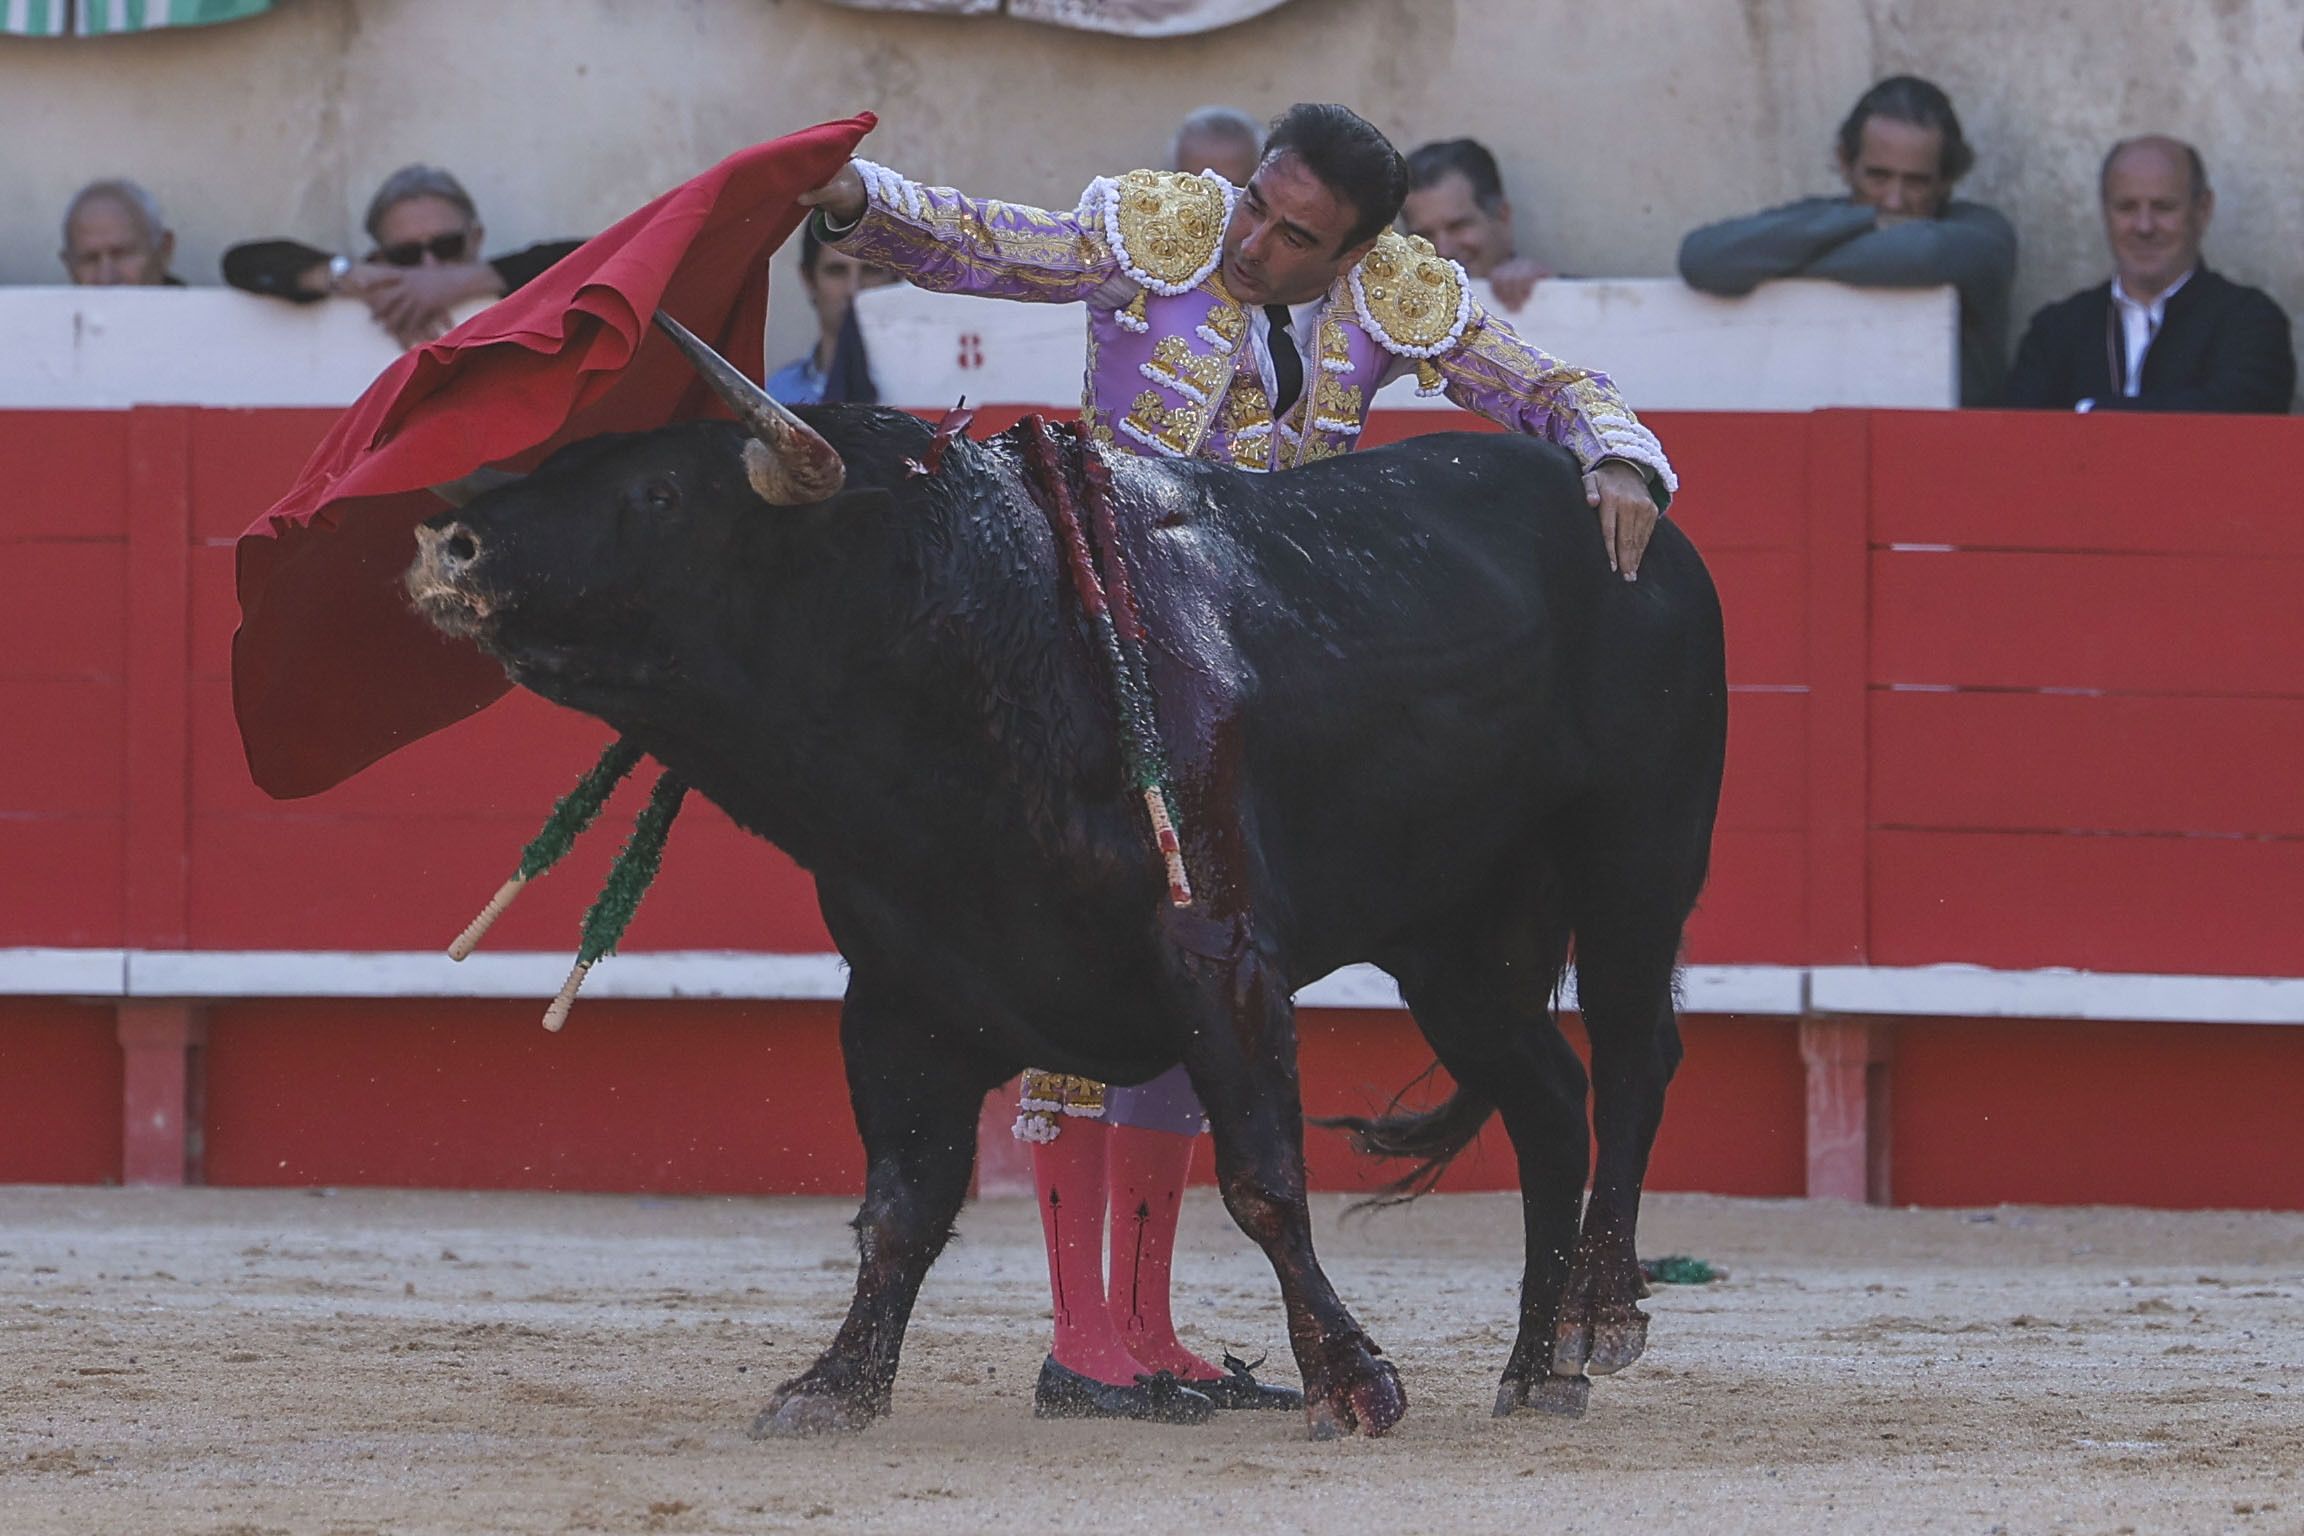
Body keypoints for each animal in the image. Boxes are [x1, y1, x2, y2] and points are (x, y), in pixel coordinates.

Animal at [405, 354, 1723, 1436]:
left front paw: (1352, 1382)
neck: (963, 632)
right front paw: (832, 1386)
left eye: (661, 495)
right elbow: (900, 1208)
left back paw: (1603, 1316)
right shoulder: (903, 998)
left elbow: (1262, 1181)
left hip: (1638, 856)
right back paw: (1538, 1369)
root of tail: (1635, 525)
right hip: (1460, 942)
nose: (446, 546)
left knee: (1634, 1055)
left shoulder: (1219, 955)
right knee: (1547, 1097)